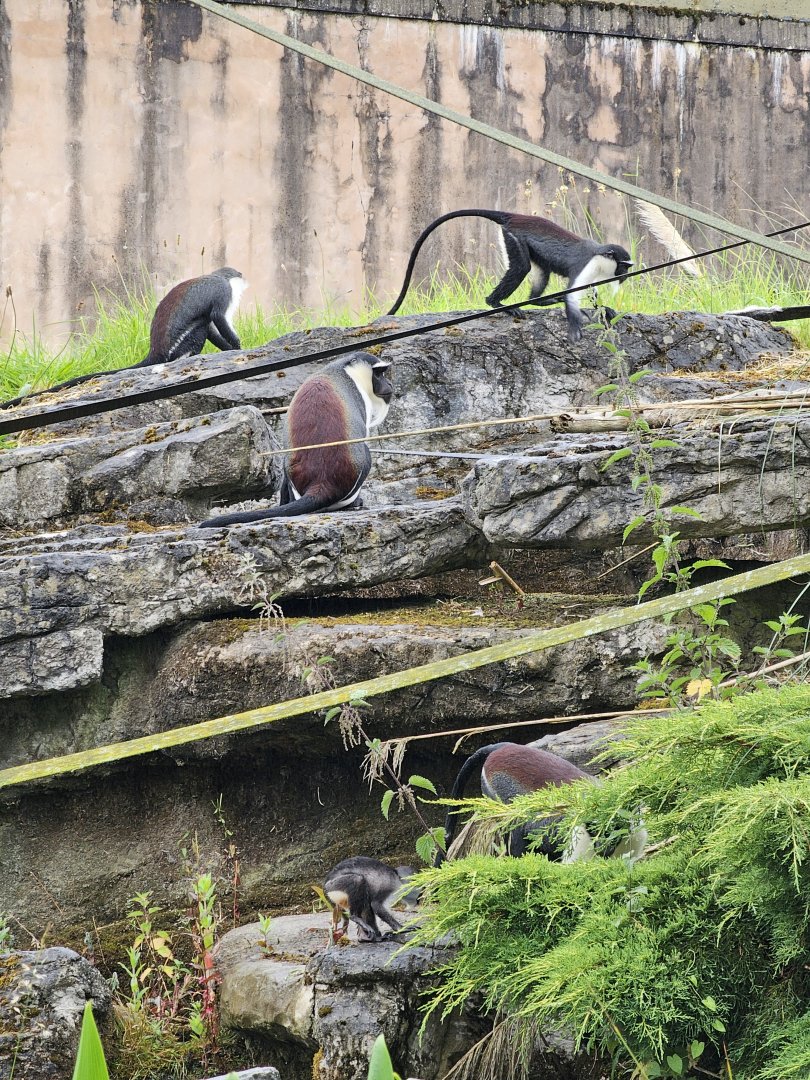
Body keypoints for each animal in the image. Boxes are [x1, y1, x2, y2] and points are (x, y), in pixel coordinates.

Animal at [0, 267, 247, 410]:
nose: (245, 282)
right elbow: (217, 317)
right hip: (182, 342)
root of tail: (155, 350)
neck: (217, 276)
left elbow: (213, 323)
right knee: (200, 326)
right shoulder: (223, 291)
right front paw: (236, 347)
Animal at [386, 209, 633, 343]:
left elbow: (591, 291)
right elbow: (573, 294)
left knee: (540, 271)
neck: (600, 254)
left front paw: (605, 309)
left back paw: (539, 301)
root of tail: (514, 216)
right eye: (624, 267)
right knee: (521, 267)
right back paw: (496, 303)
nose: (625, 277)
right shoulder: (584, 265)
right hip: (514, 238)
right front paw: (575, 327)